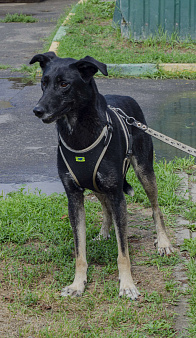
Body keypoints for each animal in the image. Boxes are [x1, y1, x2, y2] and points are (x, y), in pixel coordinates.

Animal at [29, 52, 173, 298]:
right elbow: (80, 250)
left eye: (64, 84)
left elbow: (123, 251)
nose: (37, 110)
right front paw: (78, 283)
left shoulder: (117, 195)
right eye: (43, 82)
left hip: (145, 172)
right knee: (105, 207)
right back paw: (105, 231)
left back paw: (163, 242)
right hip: (95, 184)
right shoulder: (74, 196)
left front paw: (127, 284)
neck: (78, 131)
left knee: (156, 209)